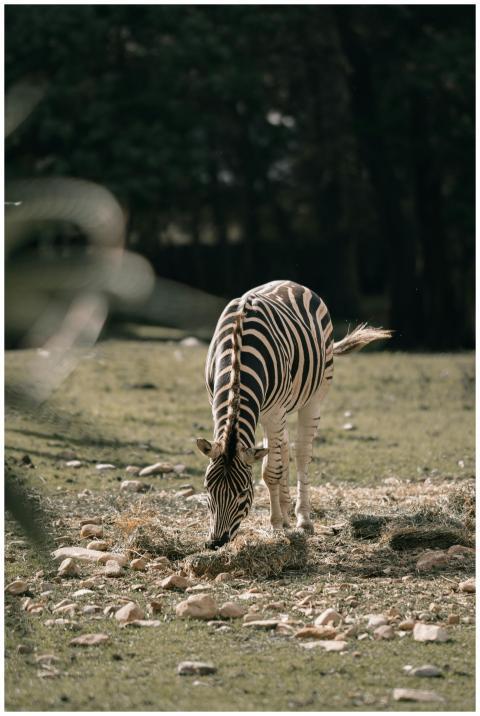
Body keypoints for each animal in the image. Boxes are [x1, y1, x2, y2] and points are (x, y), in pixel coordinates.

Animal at [197, 280, 391, 549]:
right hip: (274, 411)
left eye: (243, 492)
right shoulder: (230, 405)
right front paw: (280, 518)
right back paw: (288, 511)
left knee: (300, 453)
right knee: (283, 448)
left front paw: (277, 524)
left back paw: (302, 519)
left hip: (313, 397)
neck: (238, 354)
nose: (215, 543)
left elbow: (270, 471)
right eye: (208, 489)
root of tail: (290, 283)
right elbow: (273, 465)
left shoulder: (275, 412)